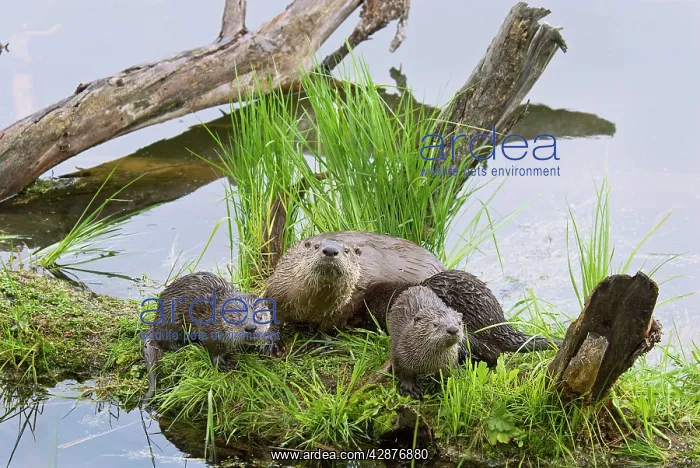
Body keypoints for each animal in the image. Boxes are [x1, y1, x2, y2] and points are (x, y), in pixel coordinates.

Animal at [143, 271, 272, 403]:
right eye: (237, 317)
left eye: (260, 316)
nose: (251, 327)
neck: (217, 316)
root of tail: (156, 321)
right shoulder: (208, 329)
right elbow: (213, 348)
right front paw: (222, 363)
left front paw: (261, 347)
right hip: (171, 319)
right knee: (167, 341)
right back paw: (186, 345)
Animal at [262, 231, 445, 355]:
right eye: (316, 246)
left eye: (346, 251)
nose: (330, 250)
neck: (310, 307)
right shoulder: (277, 288)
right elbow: (272, 315)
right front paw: (271, 342)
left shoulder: (345, 307)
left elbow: (330, 327)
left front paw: (317, 342)